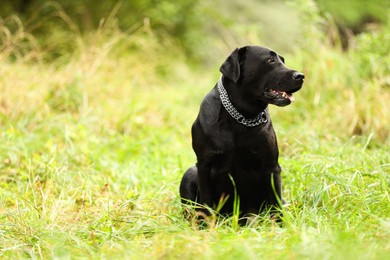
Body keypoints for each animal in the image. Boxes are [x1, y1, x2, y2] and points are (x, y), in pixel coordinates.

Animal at [180, 45, 304, 219]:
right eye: (270, 60)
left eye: (283, 60)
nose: (301, 76)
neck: (240, 118)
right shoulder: (204, 164)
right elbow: (207, 202)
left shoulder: (271, 166)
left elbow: (275, 201)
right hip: (189, 173)